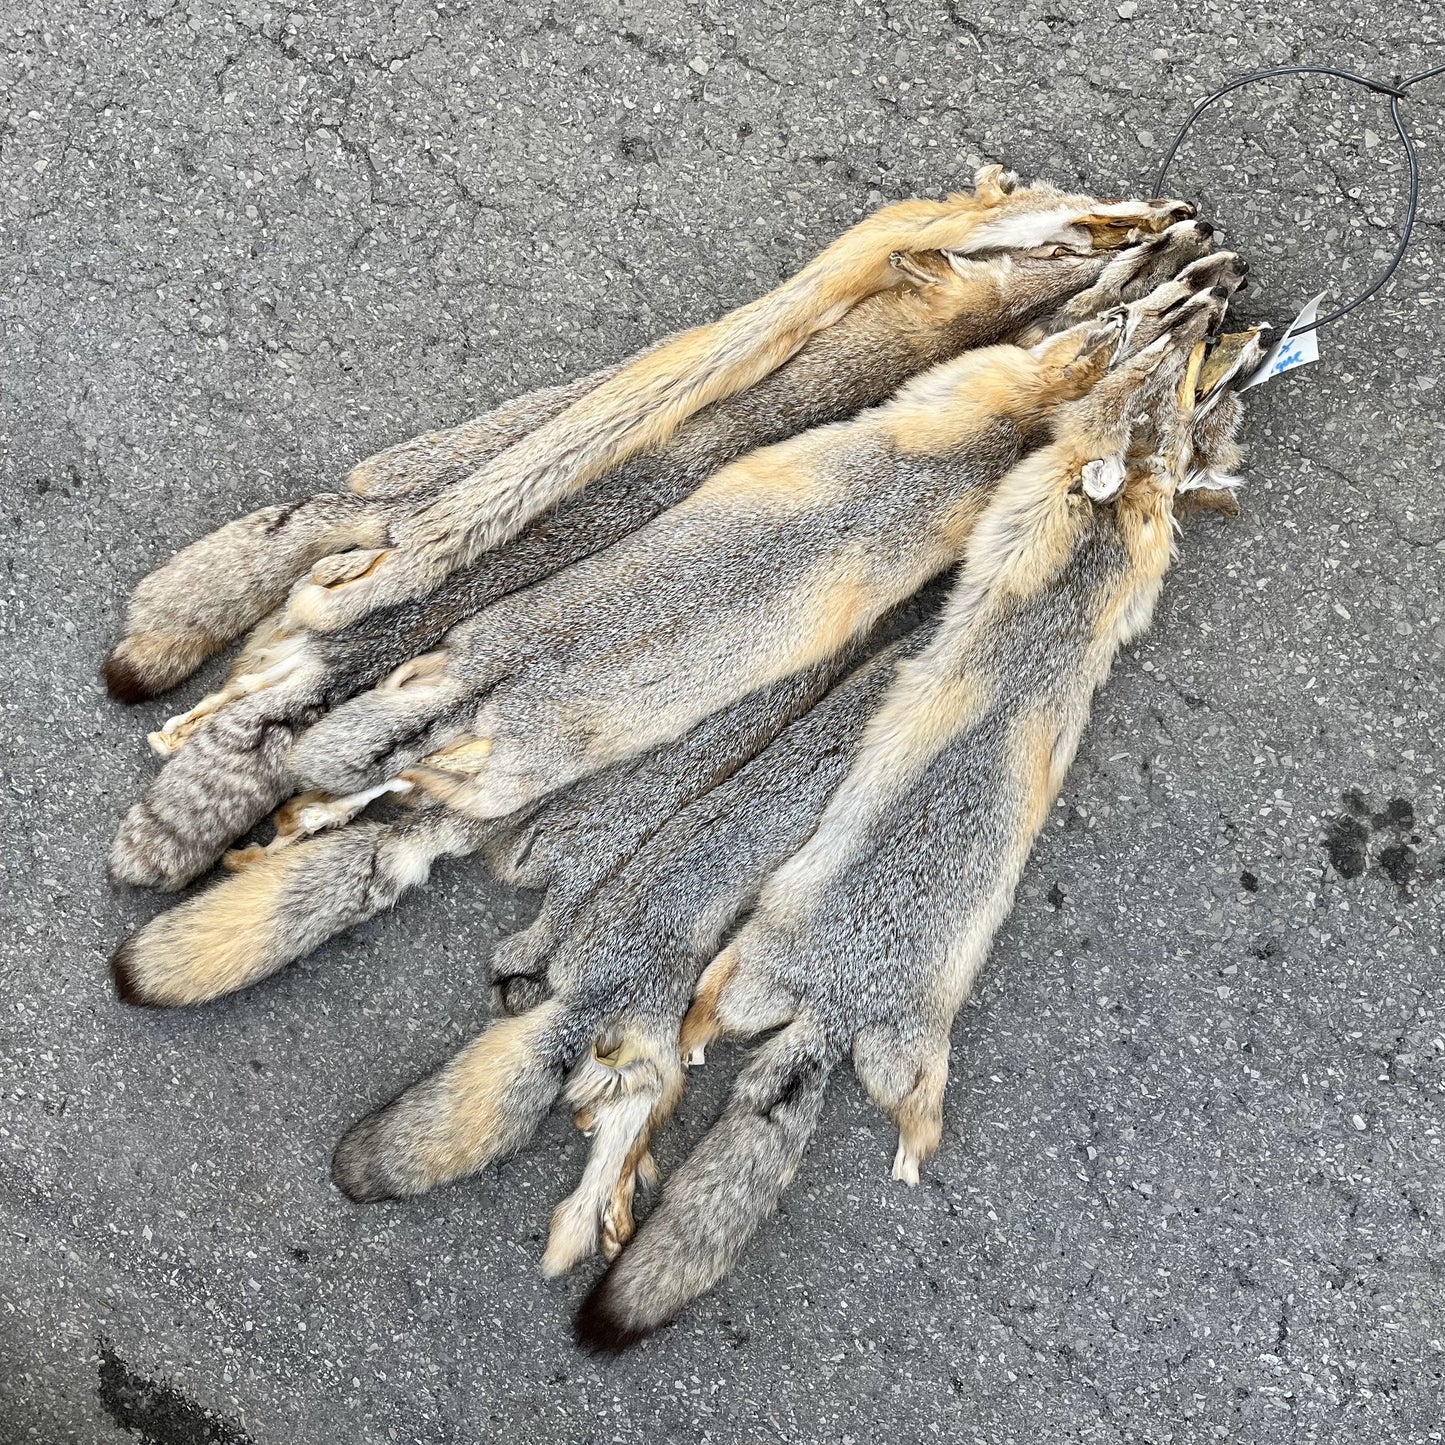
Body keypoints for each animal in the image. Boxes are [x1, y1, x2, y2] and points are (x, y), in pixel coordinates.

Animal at [572, 265, 1264, 1350]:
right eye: (1168, 361)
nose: (1219, 304)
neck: (1099, 532)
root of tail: (838, 1006)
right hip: (788, 994)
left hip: (809, 1007)